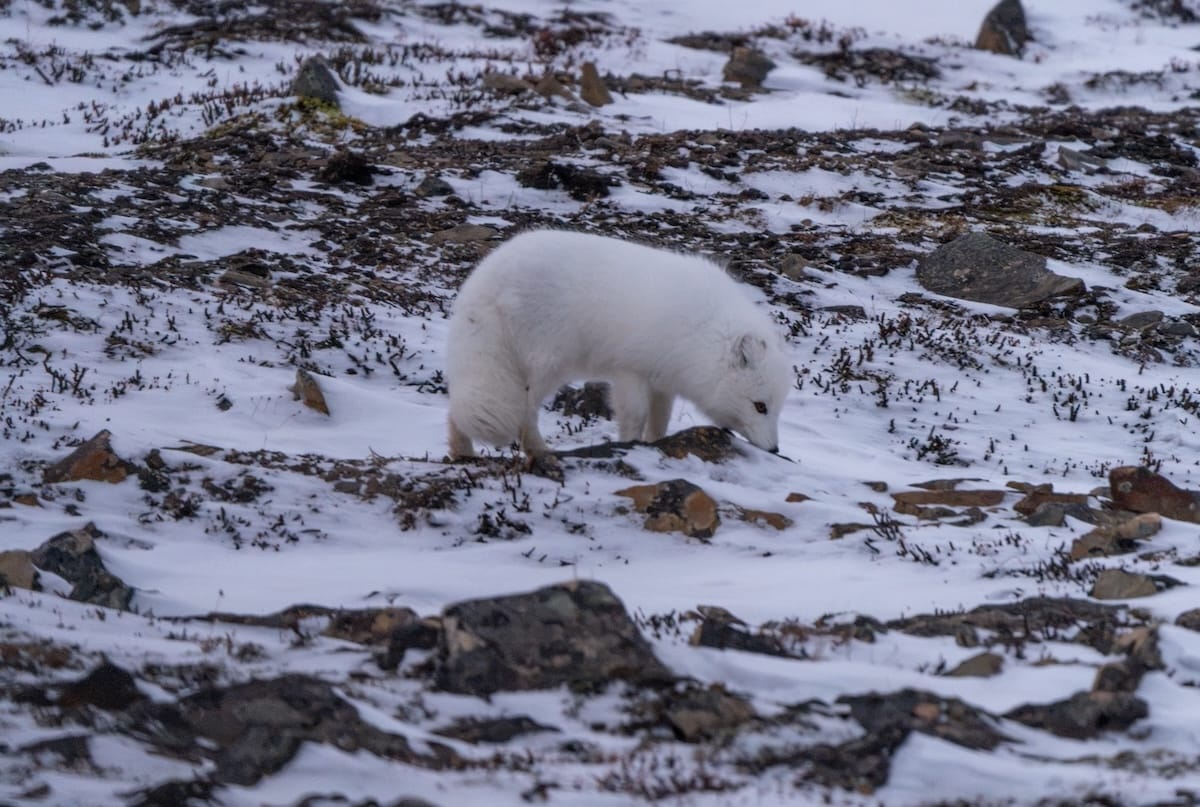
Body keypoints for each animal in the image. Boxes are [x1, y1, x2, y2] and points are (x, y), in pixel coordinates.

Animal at [445, 229, 790, 457]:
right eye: (760, 406)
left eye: (776, 408)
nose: (775, 449)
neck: (704, 331)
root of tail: (480, 284)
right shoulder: (629, 372)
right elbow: (634, 417)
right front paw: (630, 444)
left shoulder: (663, 380)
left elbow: (660, 422)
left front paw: (654, 444)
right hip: (543, 368)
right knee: (524, 417)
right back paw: (539, 452)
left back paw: (462, 454)